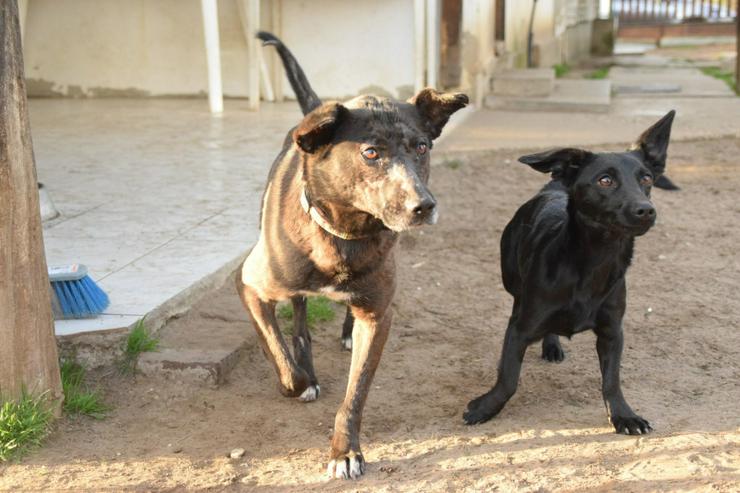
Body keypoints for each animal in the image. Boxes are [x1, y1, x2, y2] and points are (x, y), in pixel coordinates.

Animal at [237, 30, 468, 476]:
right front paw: (301, 380)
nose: (424, 206)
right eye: (371, 152)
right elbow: (281, 361)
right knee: (299, 320)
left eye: (422, 147)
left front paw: (345, 451)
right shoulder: (250, 285)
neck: (345, 234)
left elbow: (355, 394)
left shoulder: (379, 316)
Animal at [466, 111, 672, 434]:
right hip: (511, 279)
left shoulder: (612, 332)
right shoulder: (520, 329)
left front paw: (624, 415)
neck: (594, 262)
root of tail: (554, 187)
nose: (646, 210)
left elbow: (612, 381)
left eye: (647, 179)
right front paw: (485, 408)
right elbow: (508, 378)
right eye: (605, 180)